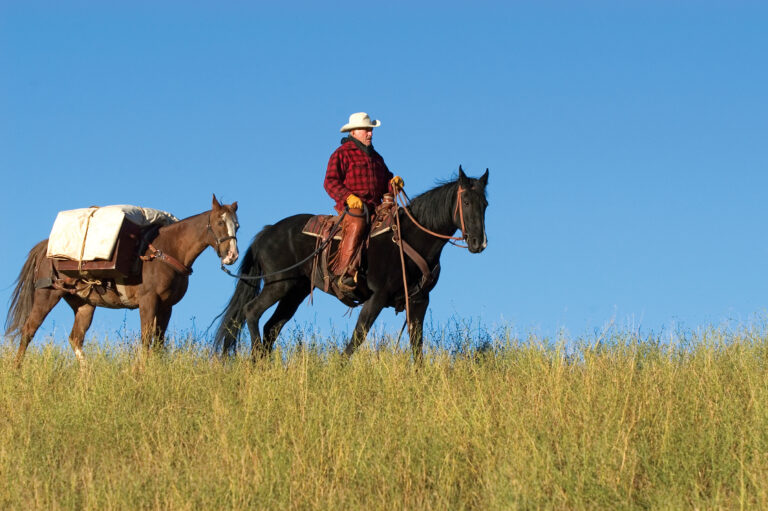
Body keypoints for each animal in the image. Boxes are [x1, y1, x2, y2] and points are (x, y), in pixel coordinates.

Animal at [5, 195, 240, 369]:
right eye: (220, 222)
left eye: (237, 225)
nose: (232, 256)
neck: (167, 251)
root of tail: (46, 248)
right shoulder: (148, 301)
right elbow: (146, 338)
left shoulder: (167, 306)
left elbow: (159, 342)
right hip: (47, 295)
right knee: (28, 330)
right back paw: (17, 371)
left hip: (84, 304)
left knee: (75, 339)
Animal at [214, 166, 488, 361]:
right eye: (465, 202)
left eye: (485, 204)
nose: (478, 242)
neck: (410, 239)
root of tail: (267, 232)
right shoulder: (377, 297)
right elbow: (357, 337)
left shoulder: (419, 301)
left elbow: (417, 344)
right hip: (278, 285)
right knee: (251, 312)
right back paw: (255, 358)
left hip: (295, 291)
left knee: (272, 327)